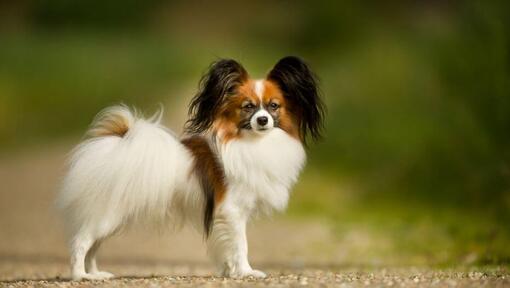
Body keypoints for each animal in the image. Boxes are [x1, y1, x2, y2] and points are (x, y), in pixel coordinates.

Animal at [56, 55, 326, 280]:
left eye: (273, 106)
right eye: (248, 107)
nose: (262, 120)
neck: (253, 143)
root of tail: (116, 143)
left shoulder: (224, 216)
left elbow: (227, 247)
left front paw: (230, 272)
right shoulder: (232, 211)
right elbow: (241, 244)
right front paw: (246, 272)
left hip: (110, 216)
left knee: (93, 247)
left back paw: (96, 274)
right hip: (106, 215)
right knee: (81, 243)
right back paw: (81, 276)